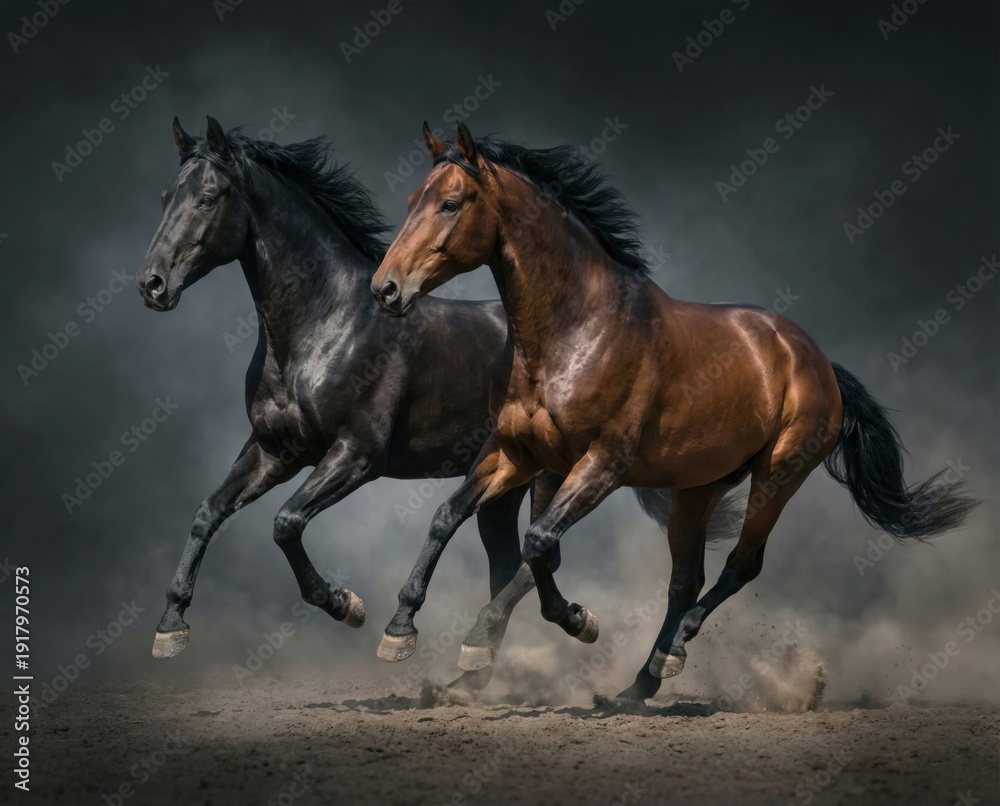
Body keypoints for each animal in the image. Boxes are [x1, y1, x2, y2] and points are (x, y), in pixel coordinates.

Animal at [134, 116, 700, 688]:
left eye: (208, 198)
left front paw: (349, 607)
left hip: (553, 473)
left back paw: (574, 625)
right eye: (164, 197)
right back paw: (474, 676)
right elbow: (208, 512)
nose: (151, 285)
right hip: (506, 483)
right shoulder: (275, 451)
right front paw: (171, 627)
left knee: (540, 555)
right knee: (511, 559)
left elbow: (286, 523)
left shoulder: (356, 456)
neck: (325, 326)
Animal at [369, 122, 978, 702]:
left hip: (778, 475)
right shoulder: (516, 453)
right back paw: (637, 688)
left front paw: (565, 623)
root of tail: (818, 361)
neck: (576, 330)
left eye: (451, 203)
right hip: (698, 488)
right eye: (412, 200)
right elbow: (449, 516)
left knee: (739, 566)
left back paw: (672, 653)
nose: (385, 289)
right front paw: (400, 630)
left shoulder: (601, 466)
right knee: (685, 579)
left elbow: (538, 542)